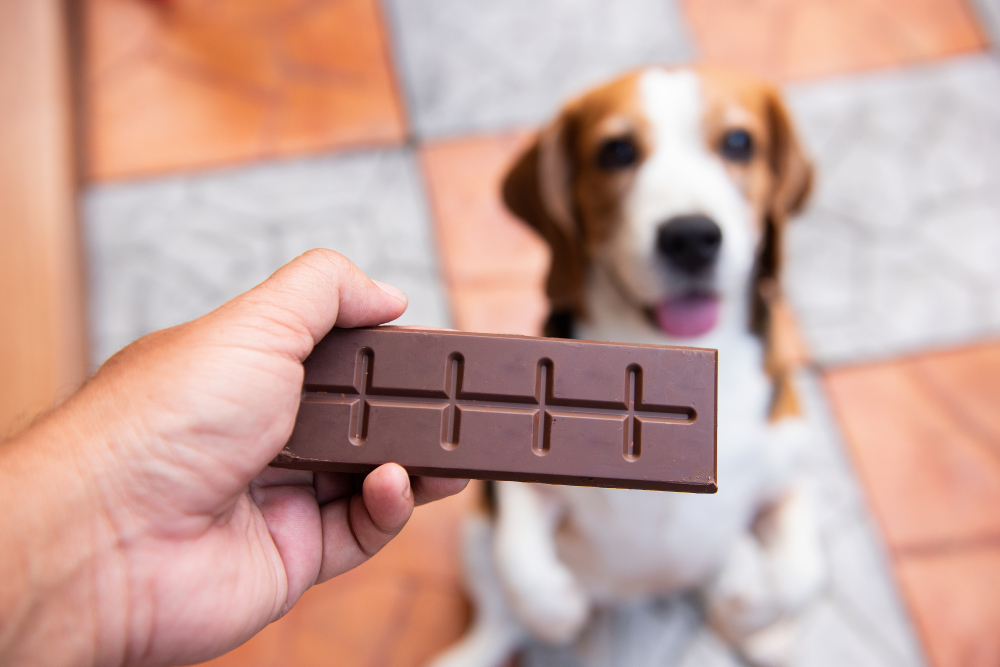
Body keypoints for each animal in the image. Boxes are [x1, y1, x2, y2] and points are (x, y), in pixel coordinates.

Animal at [432, 65, 828, 667]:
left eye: (739, 142)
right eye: (616, 151)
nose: (690, 236)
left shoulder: (787, 474)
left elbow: (799, 574)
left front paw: (750, 611)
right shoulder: (513, 483)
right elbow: (523, 567)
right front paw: (556, 609)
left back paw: (758, 629)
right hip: (474, 534)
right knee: (500, 615)